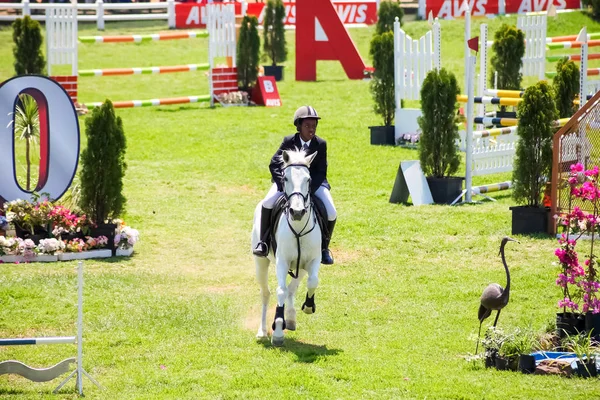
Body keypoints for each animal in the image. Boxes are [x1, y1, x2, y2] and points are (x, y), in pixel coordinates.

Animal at [250, 148, 322, 346]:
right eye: (285, 178)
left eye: (309, 179)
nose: (297, 212)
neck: (298, 227)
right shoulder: (281, 261)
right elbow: (280, 291)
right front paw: (277, 333)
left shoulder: (313, 260)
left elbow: (312, 282)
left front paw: (308, 306)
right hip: (260, 262)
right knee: (266, 293)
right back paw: (262, 331)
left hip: (300, 267)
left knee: (292, 288)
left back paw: (290, 318)